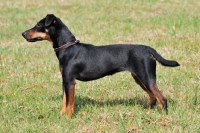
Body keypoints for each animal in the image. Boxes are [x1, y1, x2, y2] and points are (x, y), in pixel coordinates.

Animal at [21, 13, 180, 117]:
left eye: (38, 25)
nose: (23, 33)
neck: (68, 48)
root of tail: (149, 50)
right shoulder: (65, 81)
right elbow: (64, 100)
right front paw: (61, 116)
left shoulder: (70, 81)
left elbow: (69, 102)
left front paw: (67, 118)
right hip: (139, 78)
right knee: (153, 97)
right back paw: (147, 112)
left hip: (146, 77)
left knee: (161, 98)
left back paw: (164, 117)